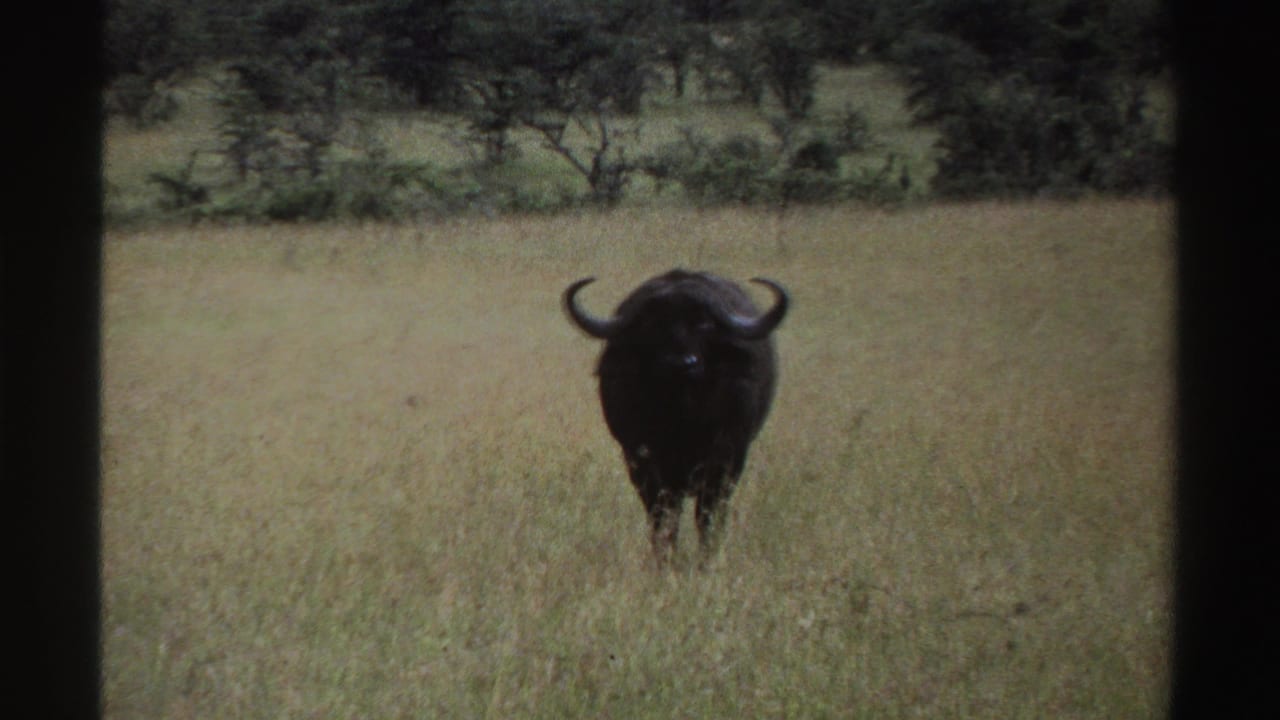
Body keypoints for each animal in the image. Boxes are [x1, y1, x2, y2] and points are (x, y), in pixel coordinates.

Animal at [563, 269, 789, 564]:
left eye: (705, 324)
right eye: (651, 323)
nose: (681, 364)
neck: (682, 418)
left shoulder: (727, 459)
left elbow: (708, 515)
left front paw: (706, 560)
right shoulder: (641, 460)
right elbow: (663, 515)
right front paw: (666, 560)